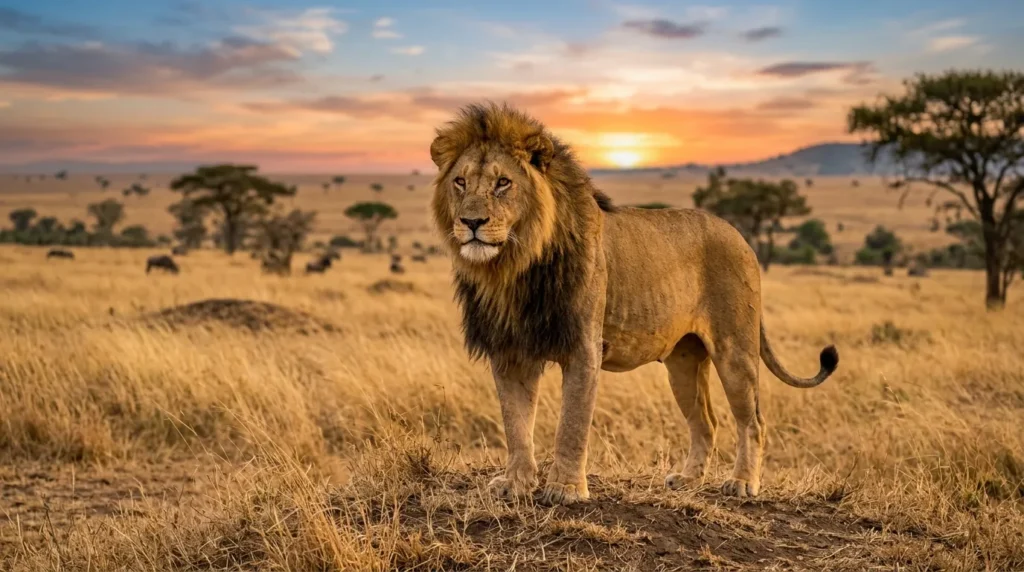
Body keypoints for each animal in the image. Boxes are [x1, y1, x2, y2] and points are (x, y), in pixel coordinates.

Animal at [429, 103, 839, 506]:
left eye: (503, 183)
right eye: (460, 182)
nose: (471, 222)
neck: (513, 268)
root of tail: (739, 236)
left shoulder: (583, 347)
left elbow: (571, 424)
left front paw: (565, 489)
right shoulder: (509, 350)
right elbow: (515, 424)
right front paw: (515, 483)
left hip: (735, 351)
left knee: (752, 421)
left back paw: (742, 483)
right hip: (684, 363)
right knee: (705, 422)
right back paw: (688, 480)